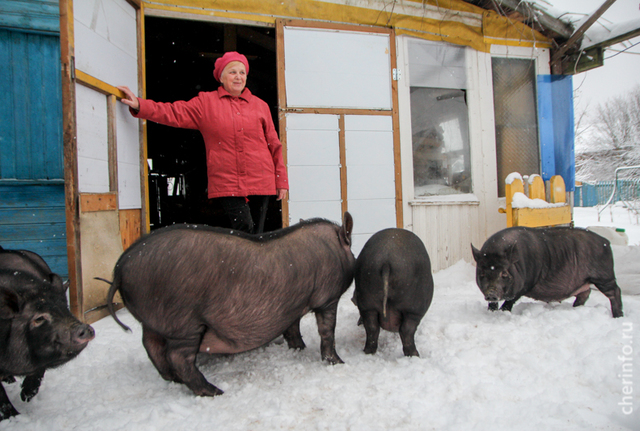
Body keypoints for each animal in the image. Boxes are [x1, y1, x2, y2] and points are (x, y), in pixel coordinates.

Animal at [0, 250, 95, 422]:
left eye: (65, 307)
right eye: (38, 318)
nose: (84, 328)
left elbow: (40, 370)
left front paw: (26, 396)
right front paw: (15, 418)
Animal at [105, 213, 356, 398]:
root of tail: (120, 267)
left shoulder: (294, 304)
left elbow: (292, 328)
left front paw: (299, 349)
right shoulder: (327, 297)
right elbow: (327, 330)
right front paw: (339, 362)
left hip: (153, 321)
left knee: (151, 347)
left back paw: (175, 380)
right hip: (182, 321)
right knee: (177, 356)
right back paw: (215, 391)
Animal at [352, 230, 432, 358]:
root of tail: (386, 262)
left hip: (367, 301)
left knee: (372, 328)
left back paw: (368, 352)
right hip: (413, 307)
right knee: (407, 330)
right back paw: (415, 355)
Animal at [470, 228, 624, 318]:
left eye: (504, 274)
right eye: (482, 274)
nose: (491, 293)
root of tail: (606, 241)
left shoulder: (526, 284)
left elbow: (510, 301)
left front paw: (503, 312)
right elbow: (493, 305)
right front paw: (491, 312)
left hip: (603, 276)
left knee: (615, 291)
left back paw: (618, 316)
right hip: (587, 282)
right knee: (585, 294)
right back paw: (575, 308)